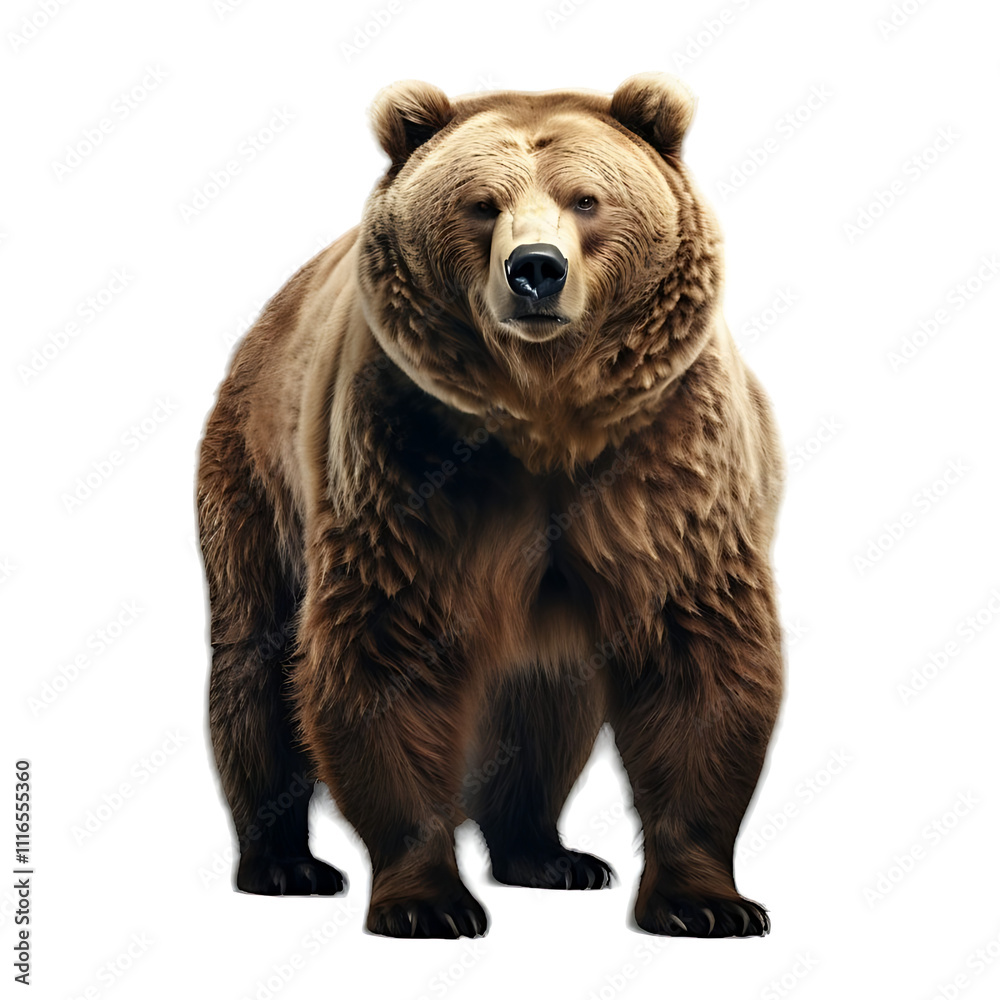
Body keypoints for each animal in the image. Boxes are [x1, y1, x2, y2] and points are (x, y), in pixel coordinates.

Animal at [197, 72, 785, 939]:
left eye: (586, 198)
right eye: (480, 203)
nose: (535, 269)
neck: (545, 419)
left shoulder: (668, 459)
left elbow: (698, 648)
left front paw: (707, 901)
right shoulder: (408, 457)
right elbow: (388, 650)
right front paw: (428, 901)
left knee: (544, 708)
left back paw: (548, 853)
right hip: (256, 475)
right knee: (256, 664)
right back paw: (285, 862)